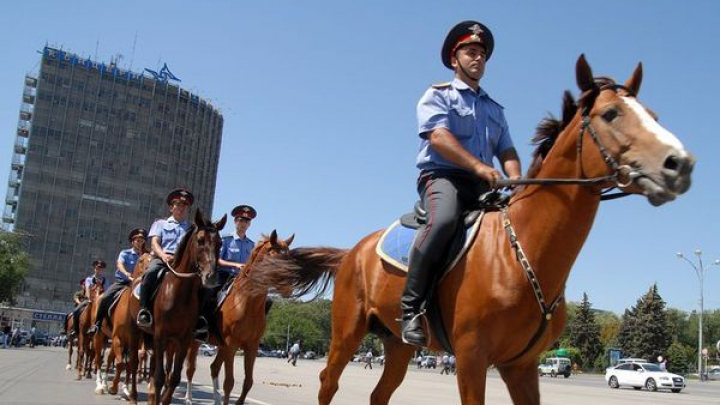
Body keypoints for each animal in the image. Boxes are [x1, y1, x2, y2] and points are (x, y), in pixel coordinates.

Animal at [143, 208, 225, 404]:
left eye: (220, 243)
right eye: (200, 240)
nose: (211, 277)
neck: (179, 293)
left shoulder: (184, 339)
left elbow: (174, 377)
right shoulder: (160, 335)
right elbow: (159, 376)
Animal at [207, 230, 294, 404]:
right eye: (274, 259)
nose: (289, 287)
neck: (246, 303)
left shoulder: (251, 346)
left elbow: (248, 382)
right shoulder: (231, 345)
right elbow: (229, 383)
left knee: (214, 368)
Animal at [250, 54, 696, 404]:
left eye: (653, 116)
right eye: (611, 114)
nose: (680, 164)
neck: (522, 253)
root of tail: (354, 251)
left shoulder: (521, 366)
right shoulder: (471, 359)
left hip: (397, 346)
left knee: (379, 394)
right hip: (347, 333)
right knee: (328, 382)